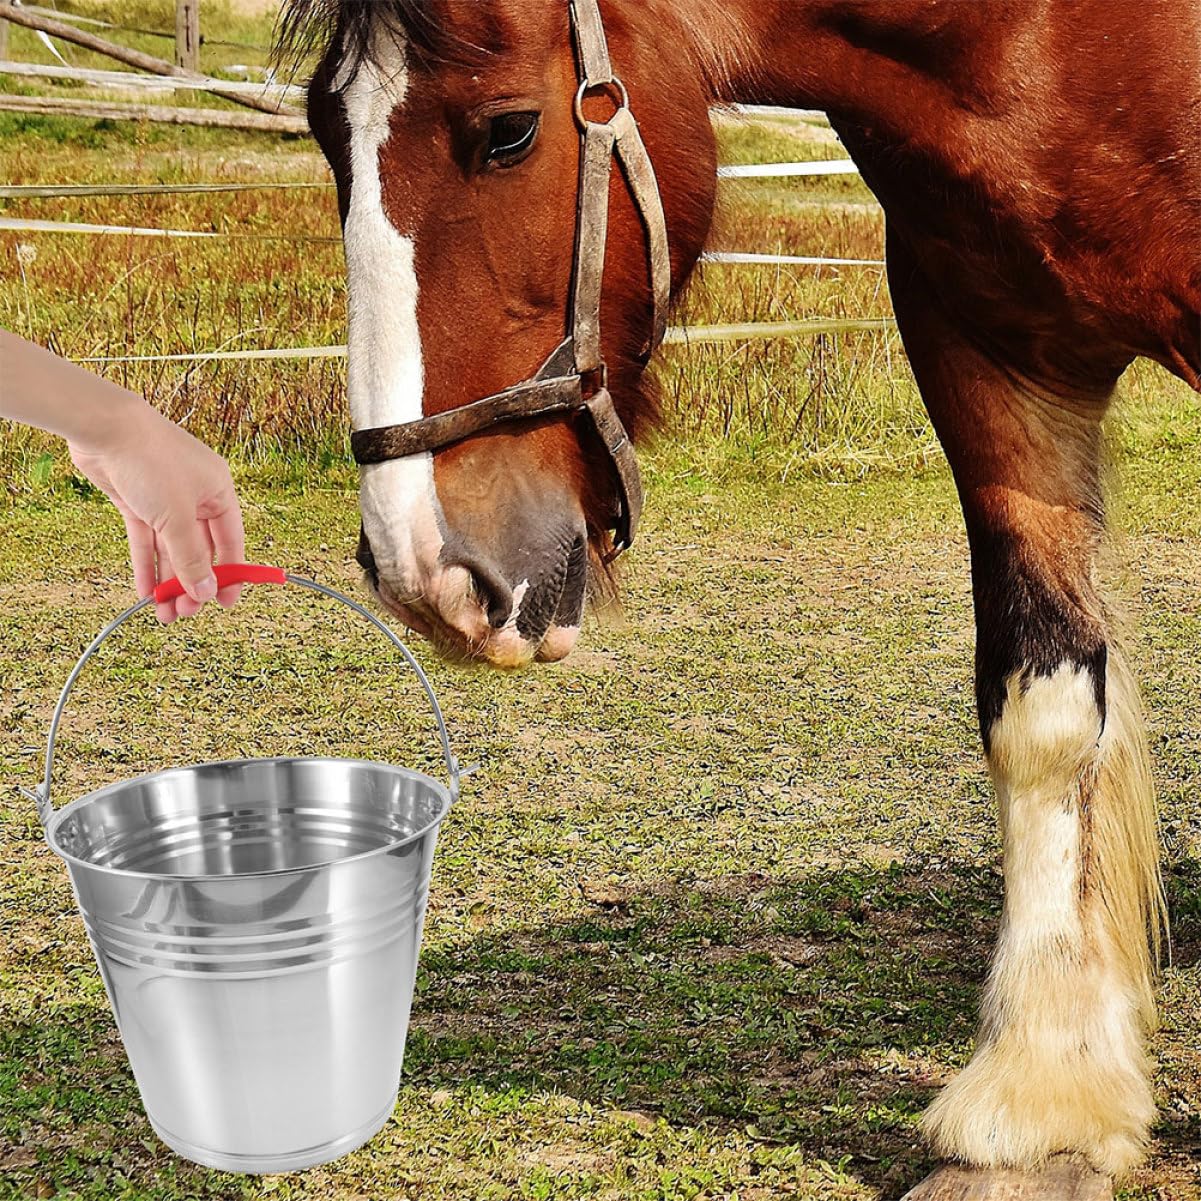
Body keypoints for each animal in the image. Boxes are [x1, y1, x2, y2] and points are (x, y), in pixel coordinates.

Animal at [279, 1, 1201, 1195]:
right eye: (324, 131)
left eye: (507, 132)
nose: (421, 570)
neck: (1056, 41)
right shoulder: (990, 354)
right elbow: (1043, 710)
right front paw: (1045, 1099)